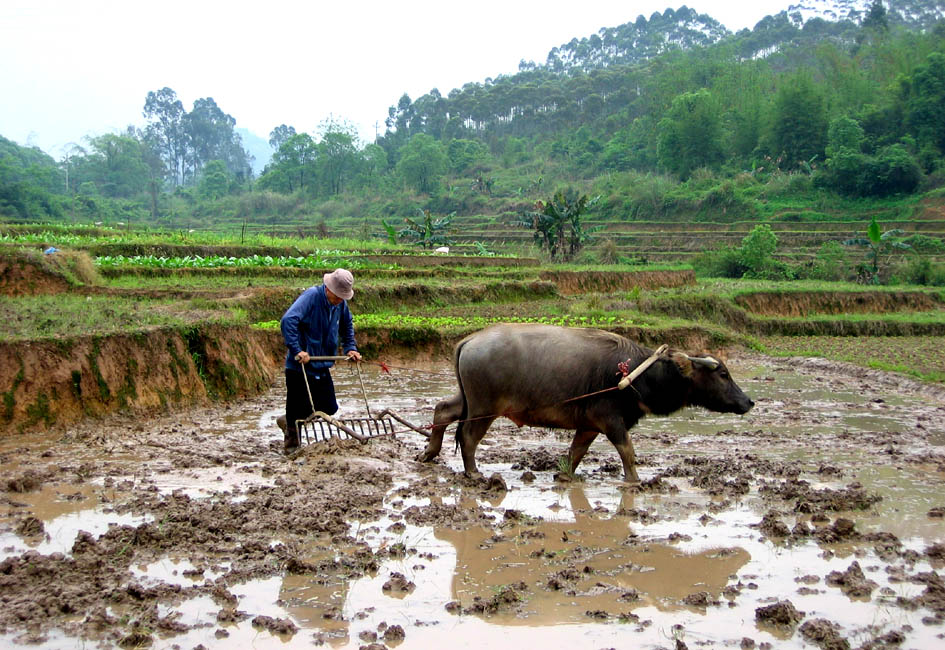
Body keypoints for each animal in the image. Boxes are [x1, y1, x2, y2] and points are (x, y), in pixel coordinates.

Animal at [418, 322, 752, 480]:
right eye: (723, 373)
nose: (748, 402)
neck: (635, 374)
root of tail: (470, 340)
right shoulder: (612, 421)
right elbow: (628, 453)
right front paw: (635, 481)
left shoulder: (589, 425)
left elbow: (576, 453)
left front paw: (564, 475)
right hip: (485, 407)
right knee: (469, 436)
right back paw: (473, 472)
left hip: (468, 399)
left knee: (443, 410)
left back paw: (429, 453)